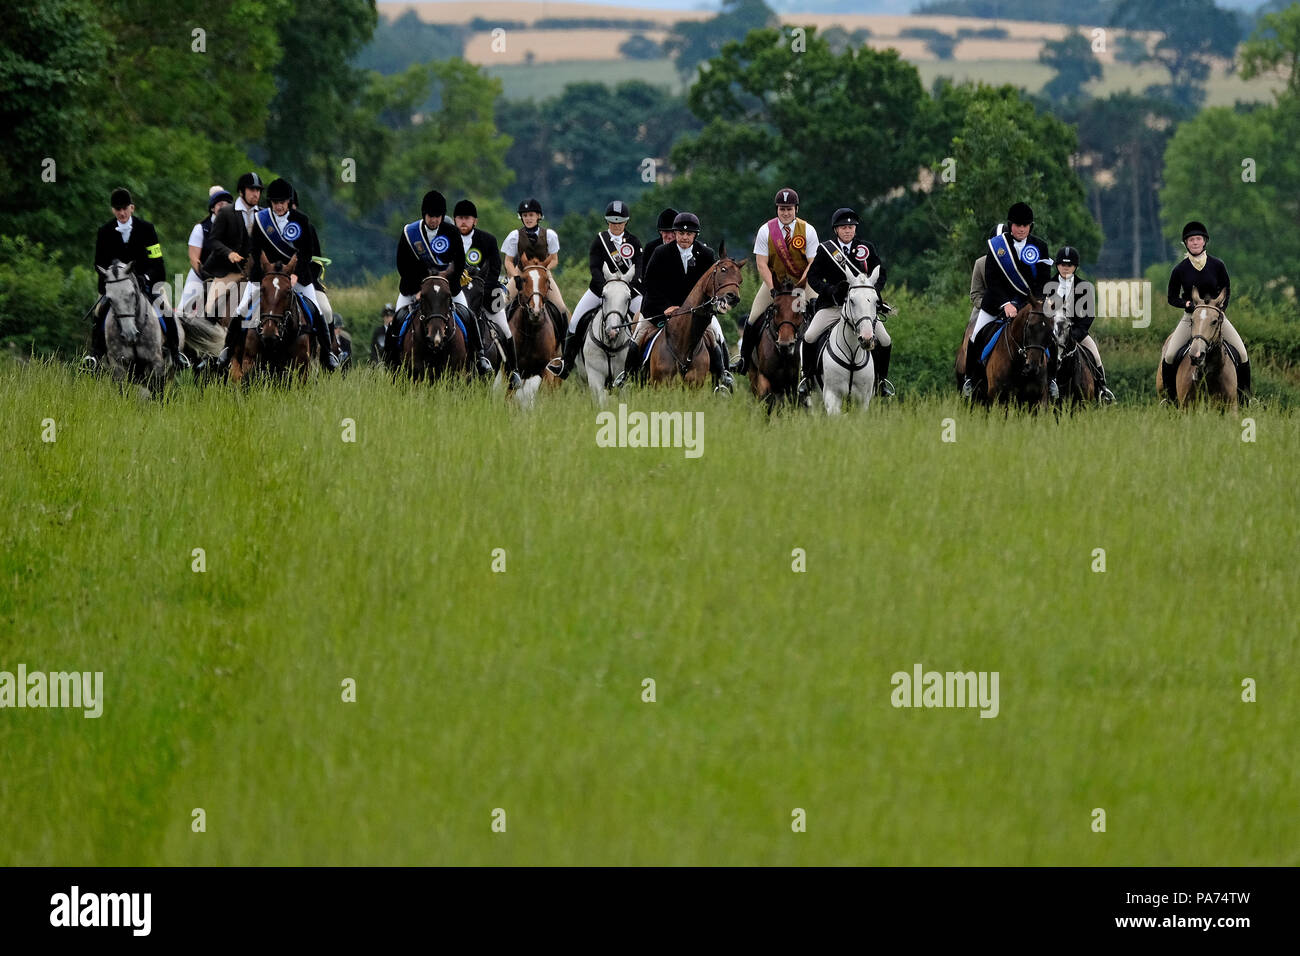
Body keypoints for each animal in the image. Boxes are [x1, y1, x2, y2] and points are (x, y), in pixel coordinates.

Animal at [574, 265, 634, 408]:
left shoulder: (623, 380)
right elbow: (601, 403)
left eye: (628, 299)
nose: (612, 332)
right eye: (604, 296)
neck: (610, 347)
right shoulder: (595, 376)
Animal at [639, 244, 743, 390]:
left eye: (740, 279)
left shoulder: (694, 386)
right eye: (723, 270)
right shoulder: (661, 385)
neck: (683, 343)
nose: (733, 298)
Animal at [748, 280, 806, 408]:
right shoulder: (764, 378)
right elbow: (766, 403)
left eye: (799, 309)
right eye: (775, 309)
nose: (785, 345)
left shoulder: (795, 383)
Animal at [816, 267, 878, 413]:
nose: (867, 339)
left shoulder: (863, 401)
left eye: (876, 301)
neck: (852, 356)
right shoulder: (832, 396)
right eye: (852, 301)